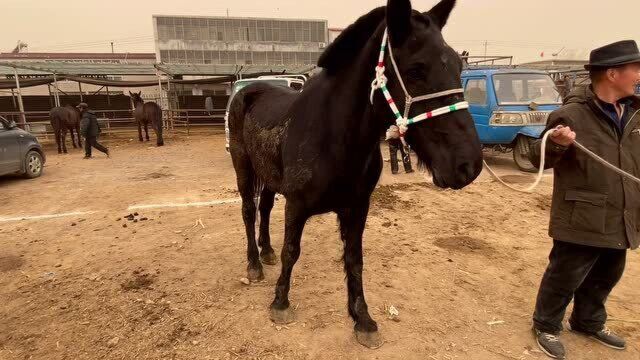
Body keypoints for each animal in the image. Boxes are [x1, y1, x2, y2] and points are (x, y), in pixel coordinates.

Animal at [228, 0, 482, 348]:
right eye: (416, 70)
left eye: (459, 66)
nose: (468, 165)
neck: (333, 137)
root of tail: (249, 89)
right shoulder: (297, 206)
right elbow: (291, 251)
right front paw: (280, 303)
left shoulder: (358, 207)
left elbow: (354, 259)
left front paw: (362, 318)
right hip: (243, 166)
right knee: (248, 210)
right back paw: (254, 264)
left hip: (268, 175)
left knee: (264, 208)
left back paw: (265, 252)